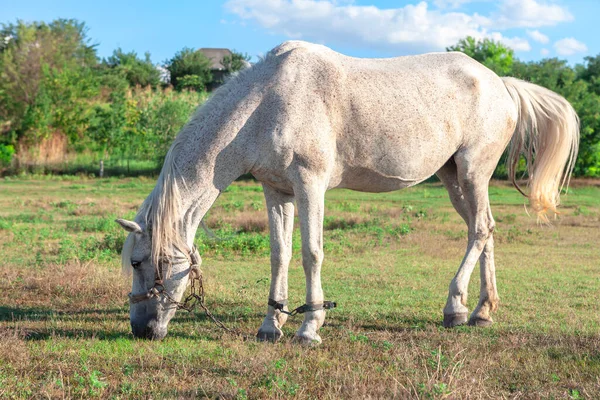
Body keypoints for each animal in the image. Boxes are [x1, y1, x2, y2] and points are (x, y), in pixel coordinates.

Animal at [115, 40, 580, 344]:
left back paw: (454, 309)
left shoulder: (310, 185)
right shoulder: (277, 191)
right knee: (484, 231)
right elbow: (279, 255)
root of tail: (499, 82)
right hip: (453, 178)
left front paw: (309, 328)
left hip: (473, 172)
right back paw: (480, 311)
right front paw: (270, 326)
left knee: (481, 230)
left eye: (139, 261)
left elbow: (311, 253)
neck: (265, 103)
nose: (141, 330)